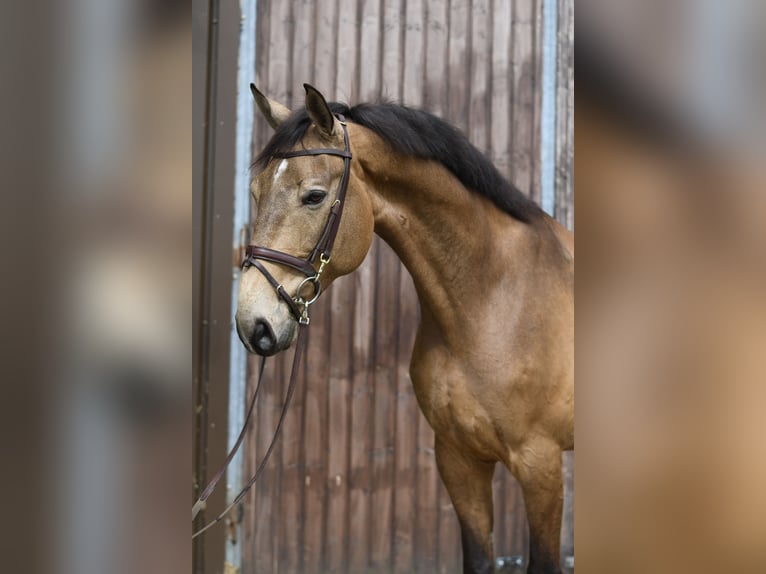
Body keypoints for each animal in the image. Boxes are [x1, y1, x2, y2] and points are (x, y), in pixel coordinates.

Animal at [235, 84, 574, 574]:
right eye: (255, 190)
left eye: (314, 196)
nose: (253, 323)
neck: (493, 298)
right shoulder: (458, 459)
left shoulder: (540, 466)